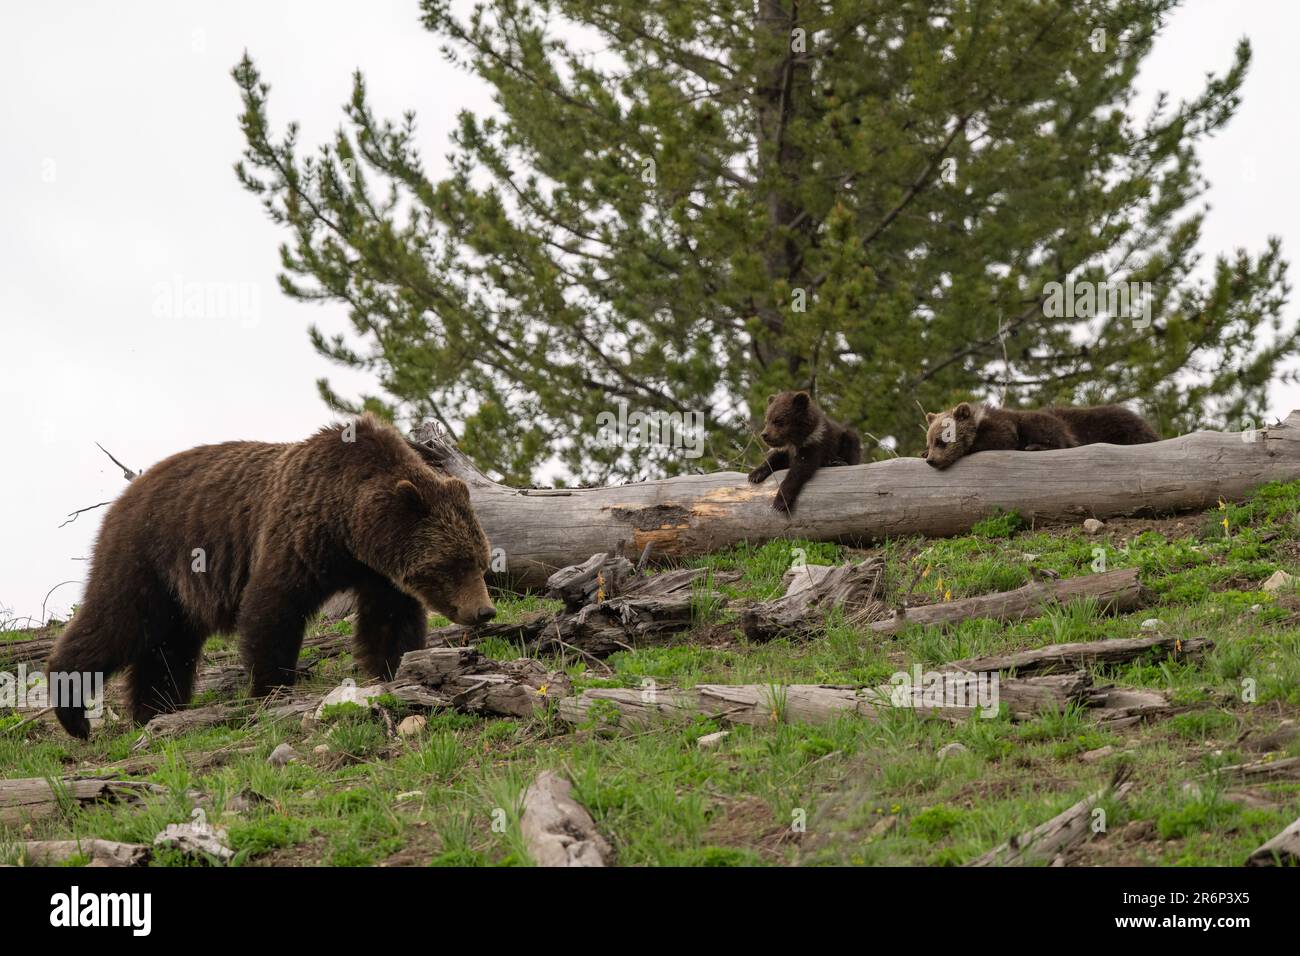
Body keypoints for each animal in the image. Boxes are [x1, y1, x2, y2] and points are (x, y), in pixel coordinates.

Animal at [45, 416, 491, 738]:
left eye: (480, 560)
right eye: (453, 564)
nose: (484, 611)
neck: (348, 524)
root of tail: (129, 491)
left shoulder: (378, 573)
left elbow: (389, 623)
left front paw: (396, 670)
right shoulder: (297, 535)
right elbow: (273, 608)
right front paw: (271, 690)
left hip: (178, 589)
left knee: (169, 647)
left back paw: (156, 709)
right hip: (147, 552)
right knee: (118, 621)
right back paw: (74, 711)